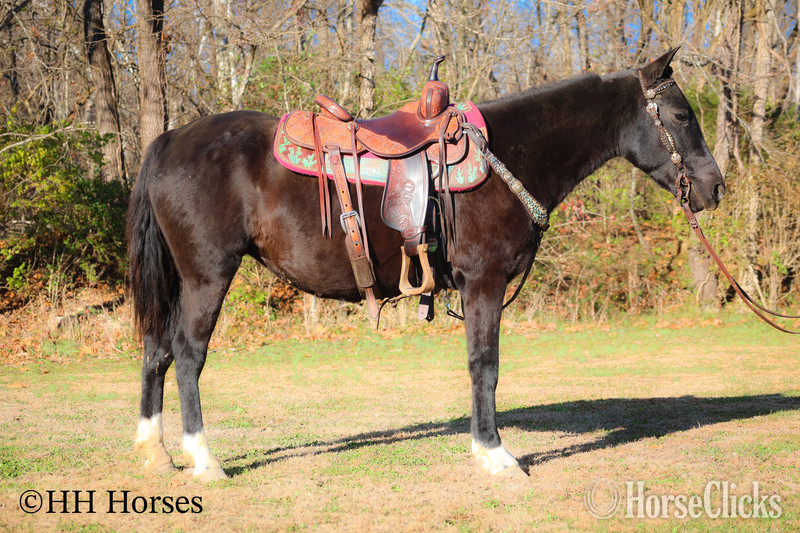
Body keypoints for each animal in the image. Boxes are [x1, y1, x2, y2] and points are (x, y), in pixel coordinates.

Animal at [127, 48, 724, 481]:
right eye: (681, 115)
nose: (715, 187)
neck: (505, 156)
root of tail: (168, 140)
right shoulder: (483, 282)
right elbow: (485, 365)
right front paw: (495, 455)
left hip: (181, 281)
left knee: (156, 351)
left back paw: (155, 452)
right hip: (207, 276)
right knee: (187, 355)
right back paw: (204, 460)